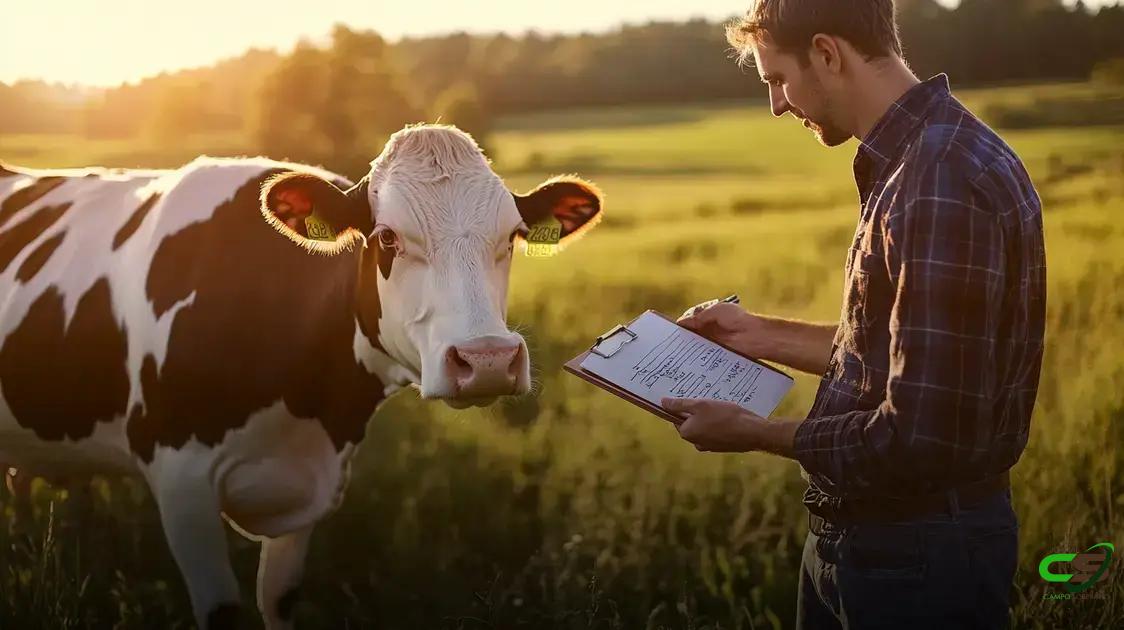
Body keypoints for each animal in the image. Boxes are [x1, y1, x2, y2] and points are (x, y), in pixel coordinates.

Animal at [0, 124, 603, 629]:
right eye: (387, 237)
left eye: (513, 236)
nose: (487, 361)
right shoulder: (180, 482)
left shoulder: (311, 488)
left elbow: (279, 598)